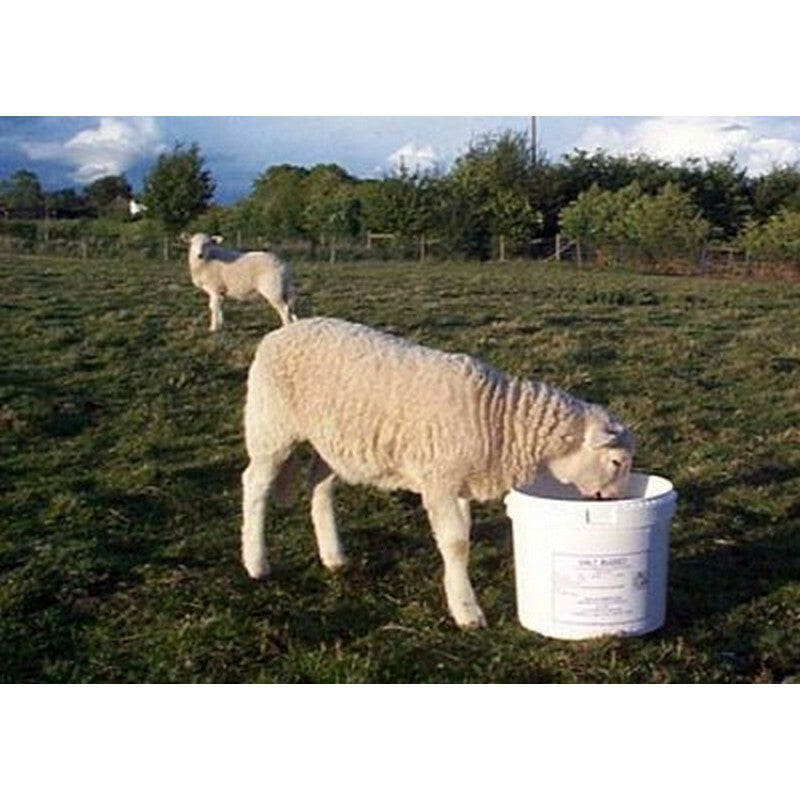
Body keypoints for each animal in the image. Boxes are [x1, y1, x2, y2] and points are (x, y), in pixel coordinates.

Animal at [241, 316, 635, 629]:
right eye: (617, 462)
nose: (615, 501)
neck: (500, 420)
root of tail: (283, 330)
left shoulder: (459, 483)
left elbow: (461, 540)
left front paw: (455, 592)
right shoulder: (439, 480)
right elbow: (456, 543)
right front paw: (467, 611)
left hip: (333, 441)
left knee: (319, 486)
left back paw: (334, 557)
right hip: (270, 425)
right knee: (255, 485)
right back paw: (256, 562)